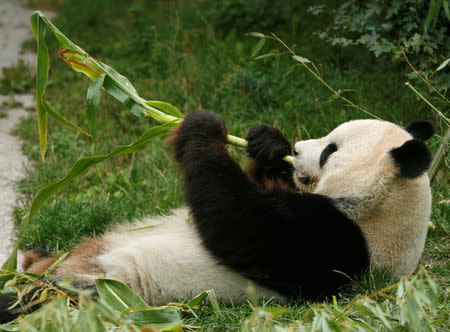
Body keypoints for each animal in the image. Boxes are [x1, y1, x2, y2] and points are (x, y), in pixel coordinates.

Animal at [1, 111, 434, 320]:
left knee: (33, 301)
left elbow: (237, 222)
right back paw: (32, 255)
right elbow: (261, 186)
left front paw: (203, 127)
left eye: (330, 151)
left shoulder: (334, 244)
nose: (297, 148)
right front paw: (267, 144)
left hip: (94, 292)